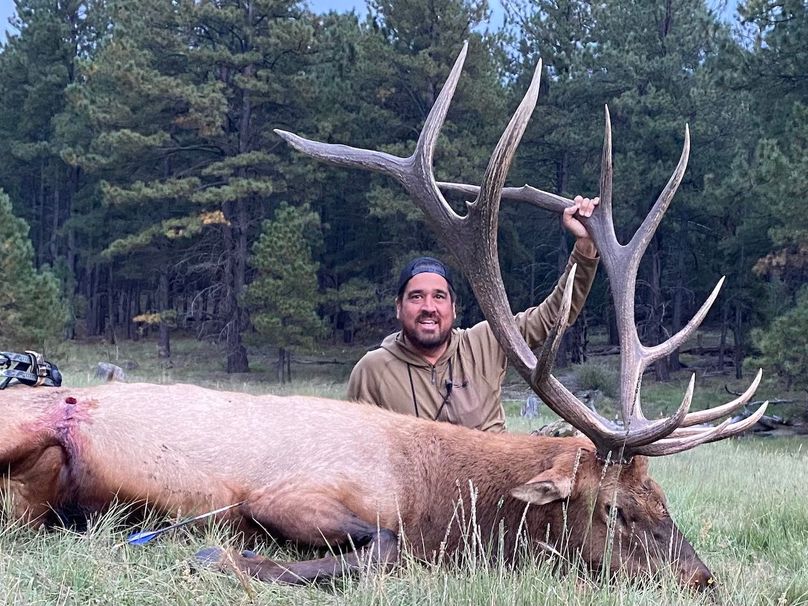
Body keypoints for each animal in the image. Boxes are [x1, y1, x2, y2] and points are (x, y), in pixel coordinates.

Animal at [0, 43, 765, 591]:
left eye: (664, 497)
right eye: (616, 509)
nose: (702, 578)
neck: (434, 496)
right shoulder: (294, 492)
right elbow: (383, 548)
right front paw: (224, 559)